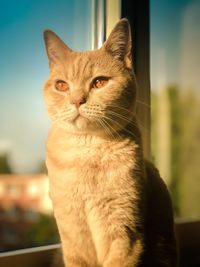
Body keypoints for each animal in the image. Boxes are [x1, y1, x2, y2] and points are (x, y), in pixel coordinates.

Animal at [43, 19, 177, 267]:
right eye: (62, 86)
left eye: (100, 82)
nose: (77, 101)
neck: (88, 152)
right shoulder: (73, 238)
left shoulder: (124, 233)